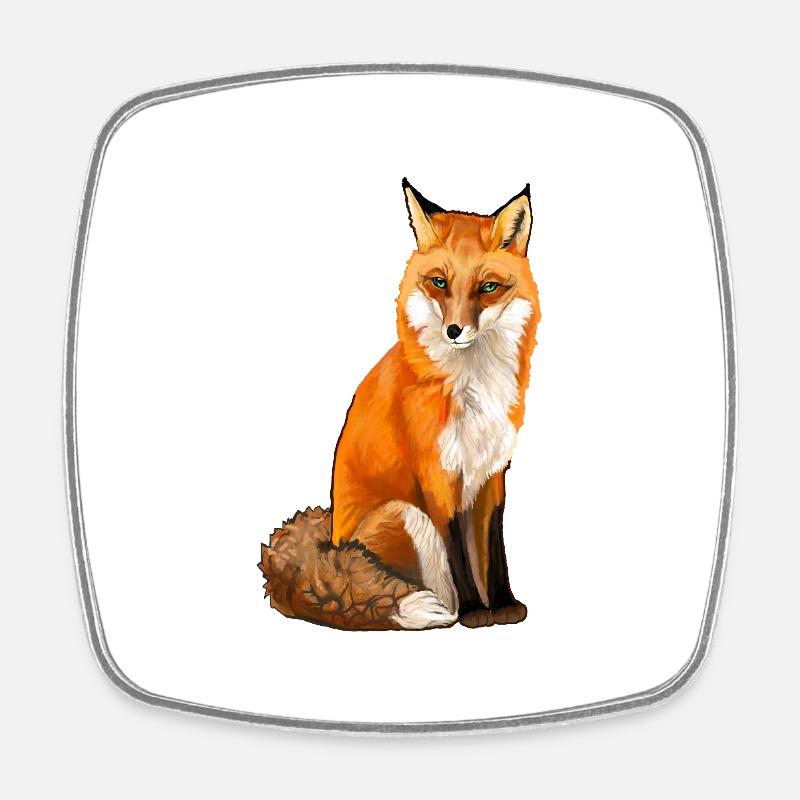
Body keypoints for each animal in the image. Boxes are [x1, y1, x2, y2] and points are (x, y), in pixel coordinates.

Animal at [323, 179, 540, 630]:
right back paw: (446, 610)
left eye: (488, 287)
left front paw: (504, 604)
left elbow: (494, 548)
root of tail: (331, 548)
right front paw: (476, 611)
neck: (474, 388)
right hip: (406, 514)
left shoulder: (492, 473)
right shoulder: (437, 475)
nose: (454, 330)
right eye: (439, 282)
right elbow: (459, 552)